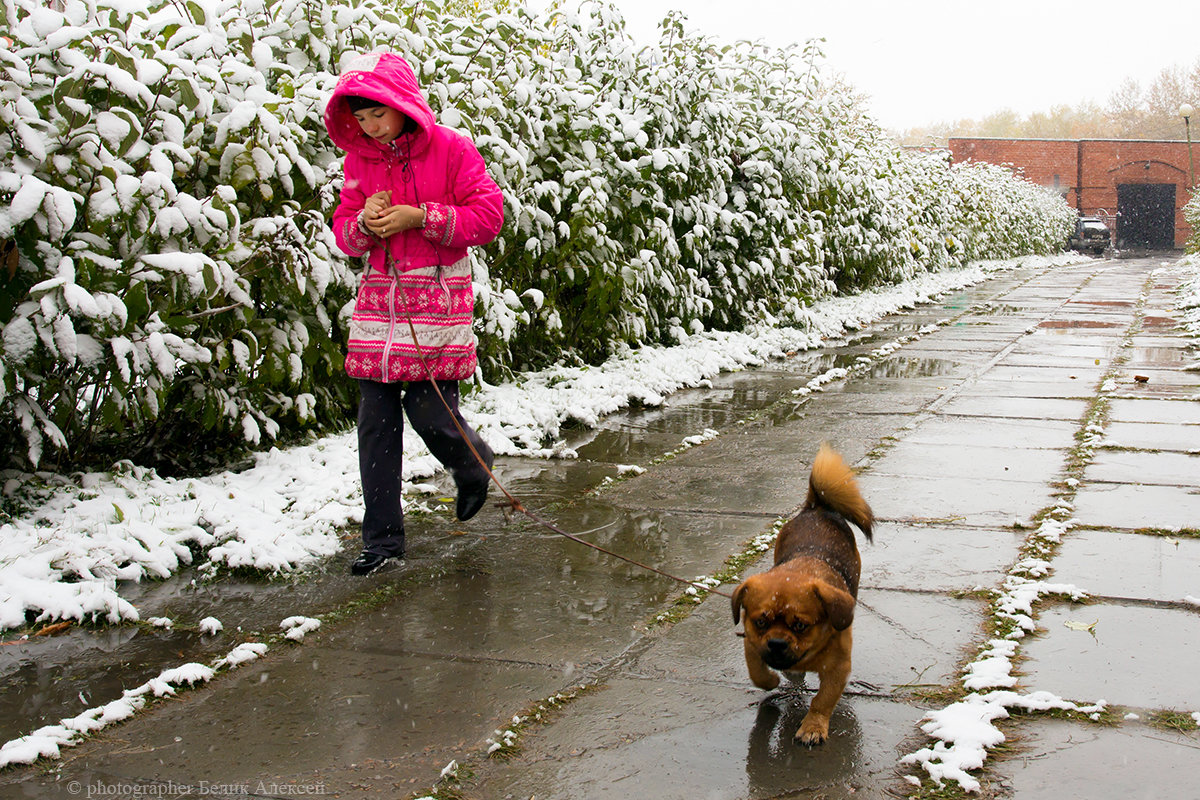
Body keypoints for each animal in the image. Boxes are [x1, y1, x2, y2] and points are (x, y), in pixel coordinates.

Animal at [729, 443, 873, 743]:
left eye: (800, 625)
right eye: (761, 622)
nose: (776, 643)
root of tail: (817, 508)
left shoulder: (838, 668)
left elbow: (823, 700)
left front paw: (813, 726)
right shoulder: (752, 643)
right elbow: (757, 671)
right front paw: (771, 680)